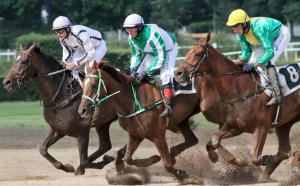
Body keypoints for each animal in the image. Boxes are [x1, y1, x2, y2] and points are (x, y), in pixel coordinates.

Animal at [3, 44, 118, 175]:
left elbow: (84, 161)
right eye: (14, 60)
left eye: (23, 61)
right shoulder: (58, 129)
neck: (60, 97)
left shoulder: (82, 132)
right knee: (105, 145)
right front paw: (67, 167)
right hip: (103, 123)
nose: (6, 82)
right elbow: (42, 149)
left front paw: (107, 159)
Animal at [173, 32, 300, 181]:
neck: (239, 88)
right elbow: (214, 140)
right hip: (284, 124)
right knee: (284, 149)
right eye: (188, 52)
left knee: (284, 152)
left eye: (198, 54)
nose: (178, 73)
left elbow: (255, 159)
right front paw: (228, 159)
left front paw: (262, 160)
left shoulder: (262, 127)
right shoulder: (235, 126)